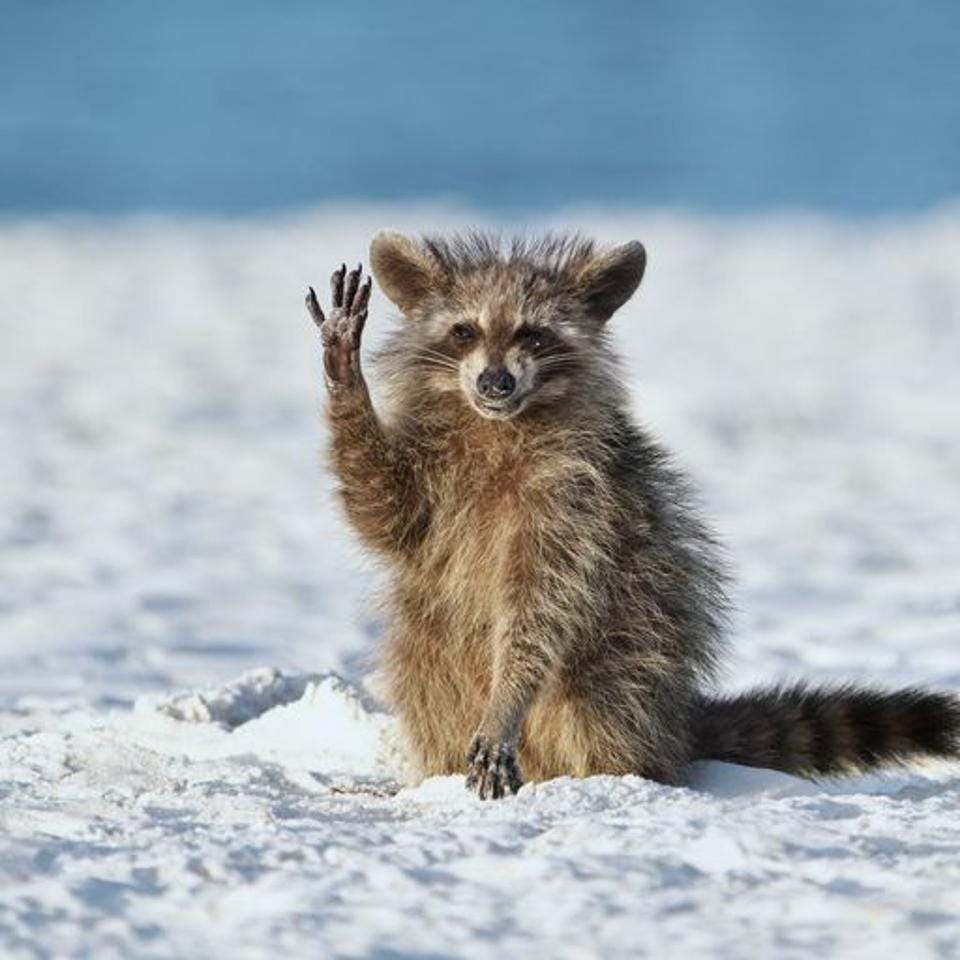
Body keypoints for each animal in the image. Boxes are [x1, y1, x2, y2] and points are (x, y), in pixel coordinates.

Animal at [306, 231, 960, 796]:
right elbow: (382, 508)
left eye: (533, 335)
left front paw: (507, 700)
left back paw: (611, 770)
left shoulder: (577, 498)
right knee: (426, 680)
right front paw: (345, 379)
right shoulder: (435, 476)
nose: (495, 381)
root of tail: (674, 726)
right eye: (464, 331)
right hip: (430, 646)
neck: (499, 425)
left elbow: (540, 606)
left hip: (632, 649)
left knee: (604, 692)